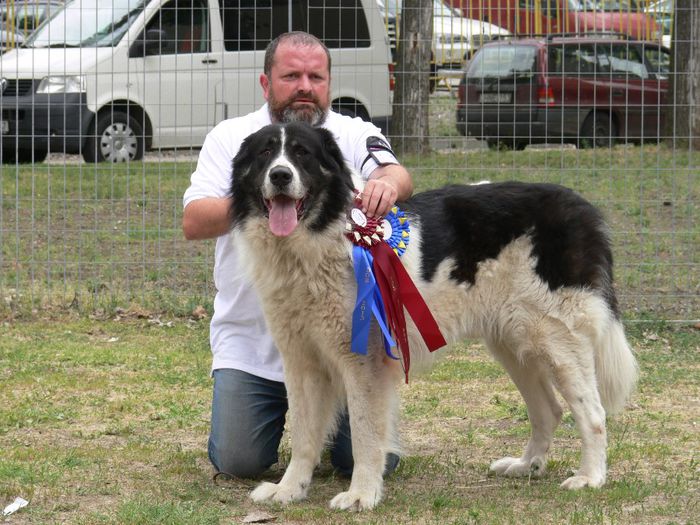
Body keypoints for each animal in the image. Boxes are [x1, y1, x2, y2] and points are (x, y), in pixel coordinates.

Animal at [230, 122, 640, 508]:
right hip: (514, 343)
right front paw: (289, 490)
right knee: (548, 410)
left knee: (593, 414)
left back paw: (590, 477)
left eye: (302, 154)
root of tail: (581, 206)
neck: (318, 240)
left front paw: (362, 494)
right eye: (266, 153)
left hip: (558, 340)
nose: (280, 175)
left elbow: (365, 433)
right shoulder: (302, 362)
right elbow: (303, 433)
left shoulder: (363, 363)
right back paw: (527, 465)